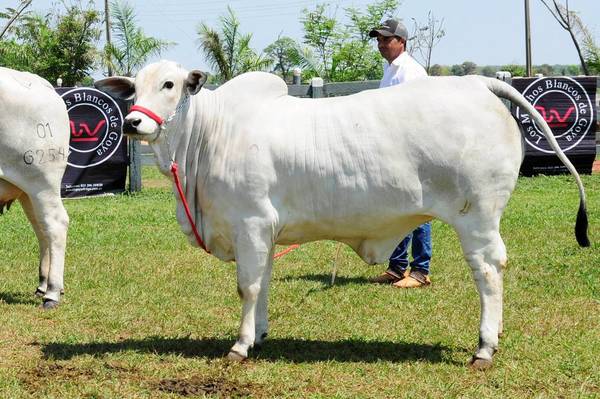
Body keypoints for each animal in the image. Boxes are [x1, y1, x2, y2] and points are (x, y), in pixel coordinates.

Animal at [0, 67, 70, 310]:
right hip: (28, 192)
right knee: (42, 230)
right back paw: (43, 284)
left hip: (42, 183)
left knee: (56, 224)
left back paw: (52, 293)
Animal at [96, 61, 588, 370]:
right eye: (134, 87)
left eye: (170, 85)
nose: (133, 123)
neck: (210, 135)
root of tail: (477, 84)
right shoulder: (266, 233)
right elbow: (265, 284)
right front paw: (260, 334)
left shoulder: (249, 223)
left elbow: (247, 286)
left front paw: (239, 345)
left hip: (478, 218)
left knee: (488, 272)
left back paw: (484, 347)